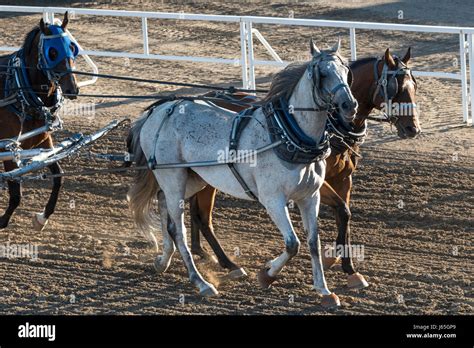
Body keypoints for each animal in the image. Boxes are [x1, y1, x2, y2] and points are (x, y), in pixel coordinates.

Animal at [0, 12, 78, 231]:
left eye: (72, 47)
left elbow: (58, 176)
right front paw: (3, 220)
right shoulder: (9, 148)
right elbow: (15, 193)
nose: (72, 89)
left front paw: (42, 217)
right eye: (52, 52)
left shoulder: (42, 141)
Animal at [187, 48, 420, 288]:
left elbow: (344, 215)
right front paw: (336, 262)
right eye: (396, 88)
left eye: (414, 85)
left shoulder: (344, 179)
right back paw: (228, 264)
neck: (331, 126)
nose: (413, 128)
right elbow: (342, 211)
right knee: (203, 217)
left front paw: (348, 267)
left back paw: (203, 252)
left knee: (195, 211)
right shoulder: (319, 183)